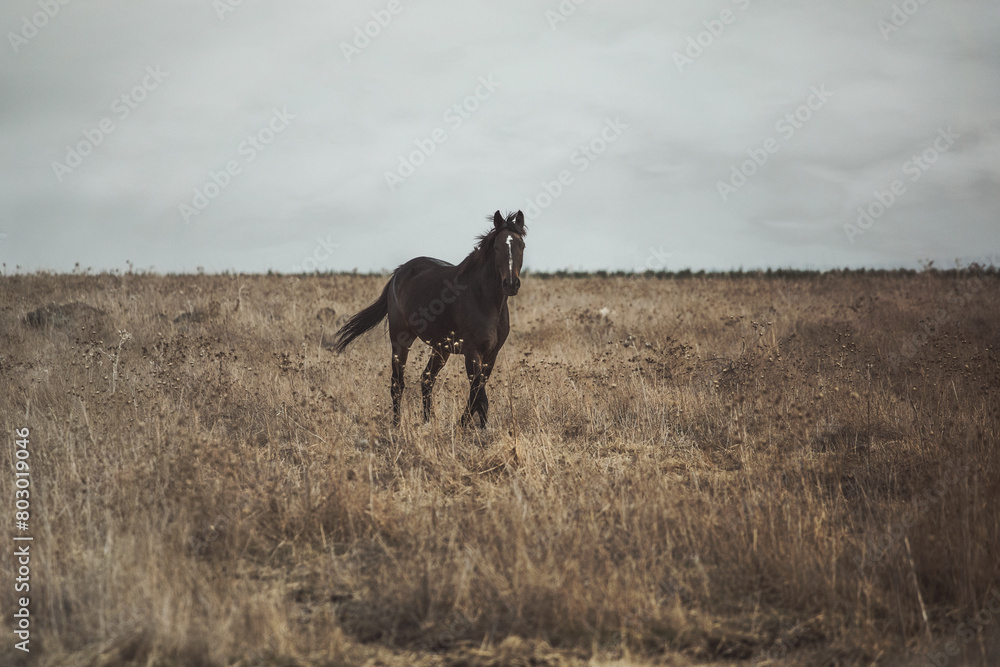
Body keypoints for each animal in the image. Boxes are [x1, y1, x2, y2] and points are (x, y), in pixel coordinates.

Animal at [333, 210, 526, 427]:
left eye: (522, 245)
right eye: (497, 247)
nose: (511, 284)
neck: (484, 299)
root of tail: (398, 273)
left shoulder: (491, 354)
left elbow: (476, 396)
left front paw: (467, 426)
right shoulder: (472, 352)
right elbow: (480, 397)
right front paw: (476, 429)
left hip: (440, 349)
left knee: (426, 379)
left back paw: (427, 422)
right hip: (400, 340)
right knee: (397, 384)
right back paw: (397, 425)